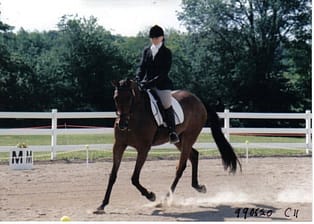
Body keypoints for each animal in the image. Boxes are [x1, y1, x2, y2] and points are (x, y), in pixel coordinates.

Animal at [93, 79, 240, 214]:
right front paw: (102, 205)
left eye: (129, 98)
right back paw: (198, 187)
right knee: (194, 155)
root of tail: (198, 100)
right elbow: (113, 176)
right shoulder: (118, 146)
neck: (134, 118)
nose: (122, 124)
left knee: (181, 167)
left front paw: (151, 196)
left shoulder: (143, 149)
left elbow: (134, 178)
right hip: (179, 140)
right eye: (115, 98)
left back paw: (164, 200)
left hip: (189, 137)